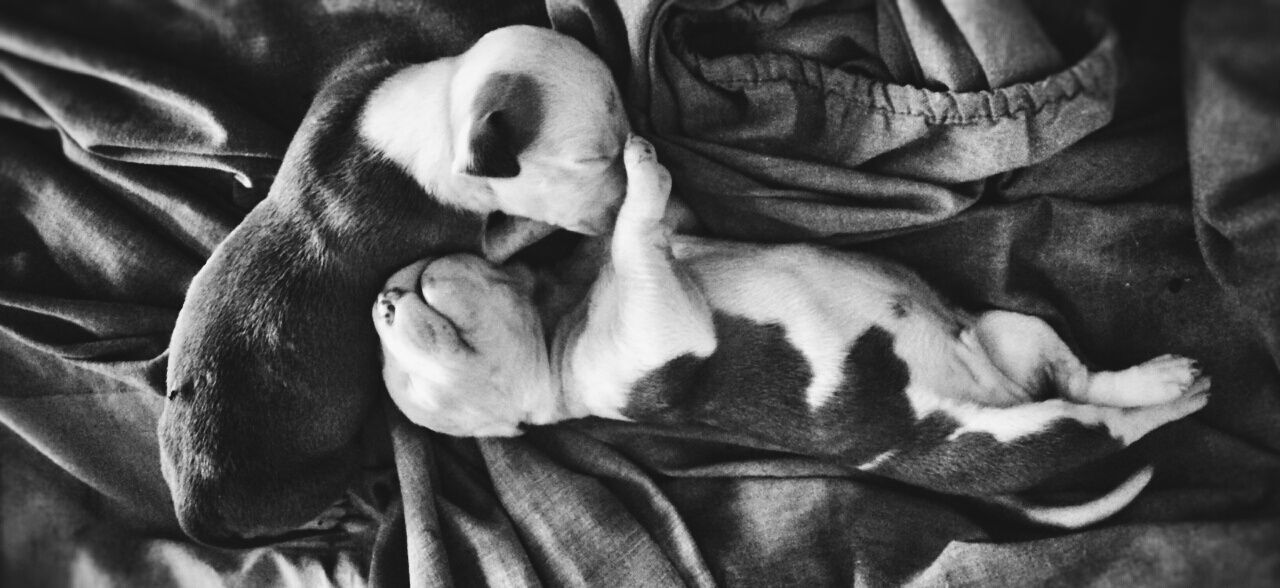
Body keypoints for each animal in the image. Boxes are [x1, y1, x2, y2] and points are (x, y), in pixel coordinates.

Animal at [160, 25, 629, 545]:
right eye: (590, 160)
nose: (626, 194)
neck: (444, 112)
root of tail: (191, 508)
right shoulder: (471, 238)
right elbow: (520, 228)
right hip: (315, 476)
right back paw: (332, 512)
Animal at [376, 135, 1208, 527]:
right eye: (413, 376)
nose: (383, 300)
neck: (558, 315)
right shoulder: (656, 339)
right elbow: (638, 238)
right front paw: (641, 172)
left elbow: (632, 228)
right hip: (1018, 437)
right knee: (1109, 424)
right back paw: (1177, 397)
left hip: (1015, 327)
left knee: (1086, 377)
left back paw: (1156, 375)